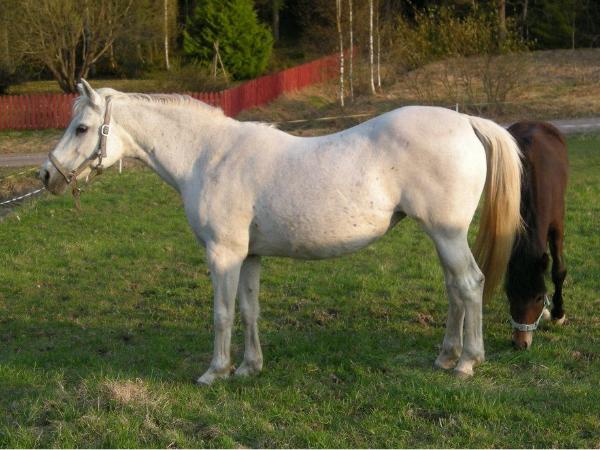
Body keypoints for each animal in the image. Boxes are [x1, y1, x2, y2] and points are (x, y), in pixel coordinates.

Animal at [39, 80, 522, 383]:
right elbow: (249, 310)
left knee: (469, 284)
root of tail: (467, 122)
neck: (208, 156)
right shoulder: (249, 255)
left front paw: (214, 372)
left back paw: (467, 363)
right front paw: (249, 368)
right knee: (454, 289)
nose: (48, 175)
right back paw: (445, 357)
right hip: (441, 236)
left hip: (447, 233)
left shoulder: (223, 254)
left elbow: (222, 313)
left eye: (82, 127)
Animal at [506, 121, 568, 350]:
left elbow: (558, 271)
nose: (520, 343)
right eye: (510, 295)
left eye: (539, 298)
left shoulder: (557, 224)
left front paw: (558, 314)